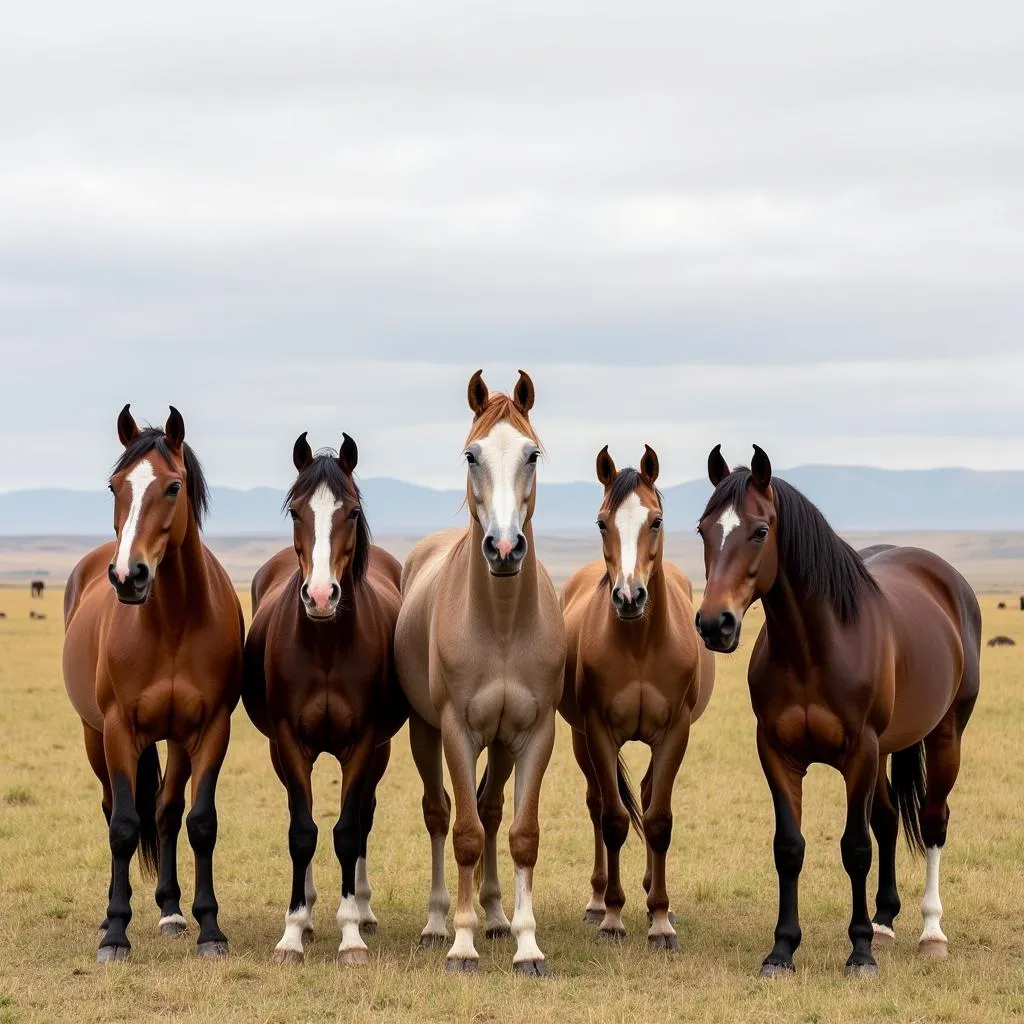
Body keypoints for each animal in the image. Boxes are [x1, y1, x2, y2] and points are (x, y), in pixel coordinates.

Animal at [61, 405, 243, 958]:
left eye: (173, 486)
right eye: (114, 485)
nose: (128, 576)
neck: (172, 623)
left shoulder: (211, 729)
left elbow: (199, 822)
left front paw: (209, 927)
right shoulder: (120, 729)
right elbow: (123, 826)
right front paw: (116, 934)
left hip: (177, 740)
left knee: (164, 811)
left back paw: (170, 910)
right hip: (94, 736)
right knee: (111, 809)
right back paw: (110, 914)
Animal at [243, 432, 407, 966]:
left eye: (351, 512)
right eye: (296, 511)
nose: (319, 596)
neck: (326, 647)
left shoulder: (364, 744)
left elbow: (348, 832)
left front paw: (351, 933)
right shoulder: (290, 743)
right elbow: (303, 831)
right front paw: (293, 932)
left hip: (381, 751)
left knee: (364, 819)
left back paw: (364, 911)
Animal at [393, 372, 569, 978]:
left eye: (532, 453)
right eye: (472, 455)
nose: (505, 547)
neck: (502, 628)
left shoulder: (535, 733)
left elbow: (520, 833)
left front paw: (527, 944)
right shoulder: (455, 731)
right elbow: (465, 833)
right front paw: (462, 944)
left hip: (502, 741)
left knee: (492, 813)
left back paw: (495, 917)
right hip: (424, 732)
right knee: (439, 815)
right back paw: (437, 923)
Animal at [557, 444, 716, 946]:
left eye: (657, 520)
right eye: (601, 522)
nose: (629, 597)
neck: (642, 645)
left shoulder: (676, 732)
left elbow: (659, 819)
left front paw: (661, 918)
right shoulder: (598, 730)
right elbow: (612, 820)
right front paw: (612, 915)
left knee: (646, 797)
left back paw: (651, 895)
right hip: (579, 739)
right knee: (597, 805)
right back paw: (597, 901)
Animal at [692, 446, 978, 974]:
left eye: (760, 531)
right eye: (703, 530)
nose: (714, 624)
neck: (813, 650)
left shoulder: (859, 753)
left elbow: (856, 847)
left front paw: (859, 952)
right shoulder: (777, 753)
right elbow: (790, 847)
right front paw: (782, 949)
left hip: (945, 736)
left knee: (933, 821)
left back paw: (931, 932)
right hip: (887, 750)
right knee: (888, 820)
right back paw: (885, 922)